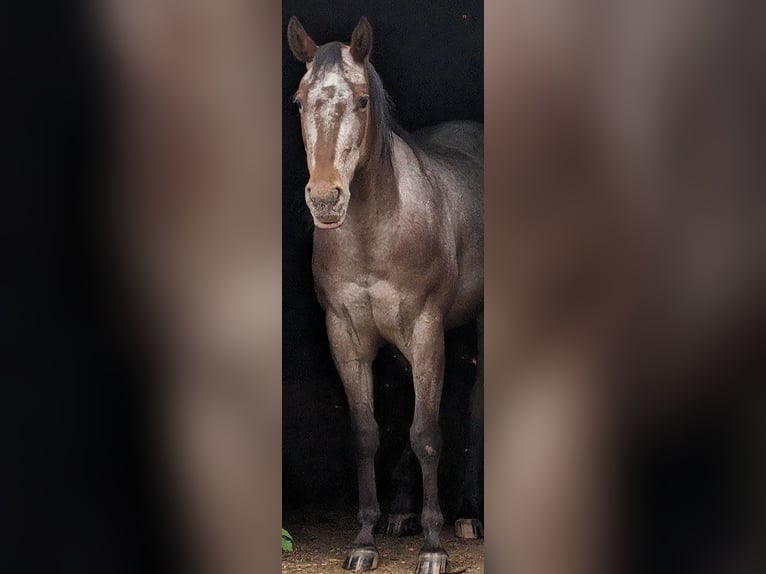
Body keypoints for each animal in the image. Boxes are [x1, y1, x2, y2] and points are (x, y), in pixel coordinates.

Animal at [288, 15, 486, 572]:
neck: (374, 231)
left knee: (473, 405)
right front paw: (365, 539)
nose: (325, 199)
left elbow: (427, 434)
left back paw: (467, 514)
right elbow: (367, 432)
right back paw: (401, 511)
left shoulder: (425, 330)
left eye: (361, 101)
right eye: (299, 100)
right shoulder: (347, 334)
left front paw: (434, 547)